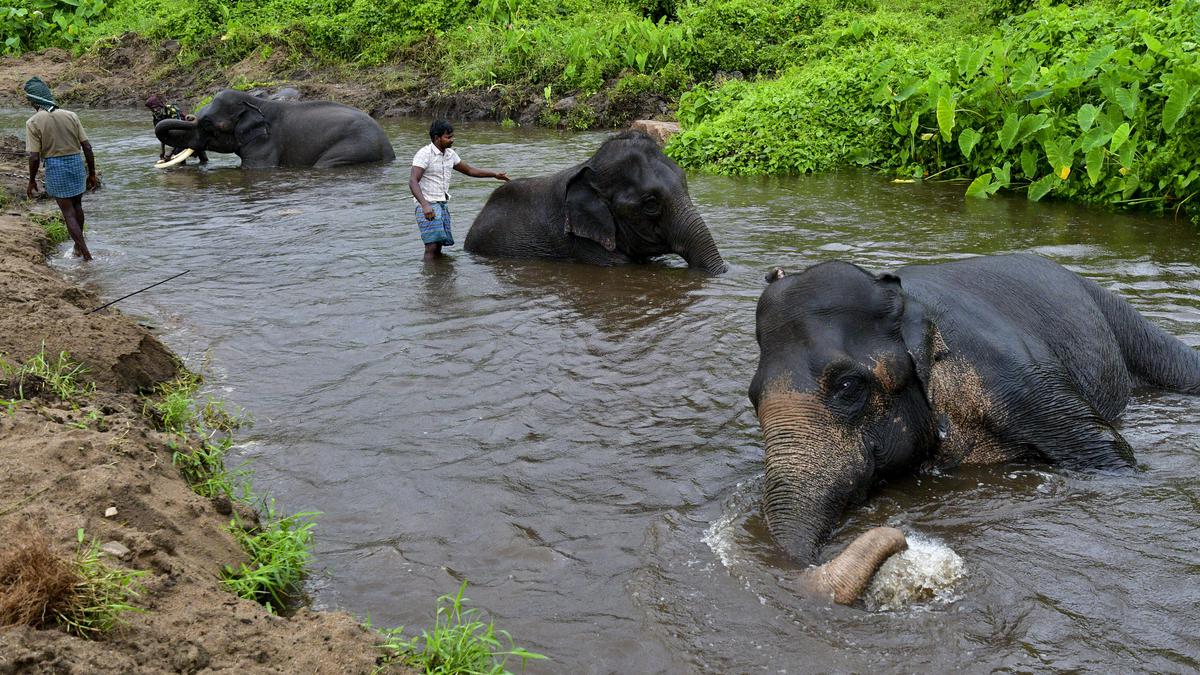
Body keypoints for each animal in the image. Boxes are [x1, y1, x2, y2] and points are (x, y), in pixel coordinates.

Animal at [744, 254, 1200, 600]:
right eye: (752, 396)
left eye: (846, 386)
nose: (903, 540)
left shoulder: (1018, 378)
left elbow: (1112, 455)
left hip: (1120, 317)